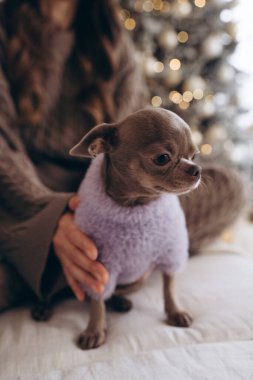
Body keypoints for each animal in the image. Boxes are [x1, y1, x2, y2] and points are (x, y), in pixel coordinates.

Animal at [69, 107, 202, 350]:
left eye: (194, 156)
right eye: (162, 158)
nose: (197, 169)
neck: (135, 206)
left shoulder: (171, 254)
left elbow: (170, 286)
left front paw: (175, 312)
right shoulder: (100, 268)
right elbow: (97, 301)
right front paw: (94, 330)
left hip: (139, 278)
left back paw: (121, 301)